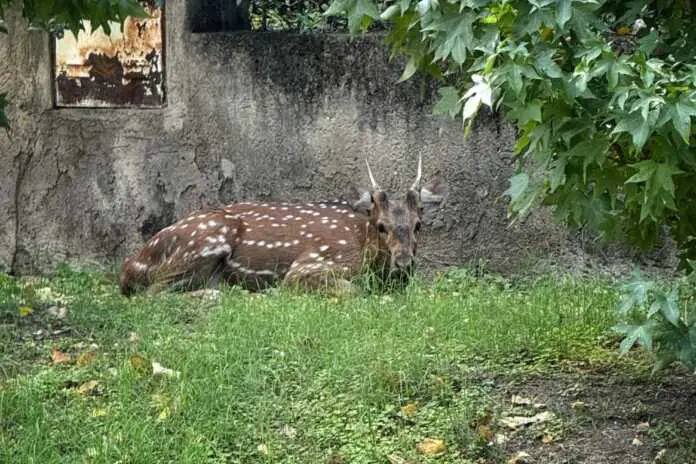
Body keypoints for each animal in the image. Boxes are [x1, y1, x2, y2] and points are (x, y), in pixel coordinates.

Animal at [119, 156, 445, 296]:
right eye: (380, 226)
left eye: (418, 225)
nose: (404, 263)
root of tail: (132, 264)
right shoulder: (311, 263)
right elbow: (353, 290)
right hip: (207, 239)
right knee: (153, 293)